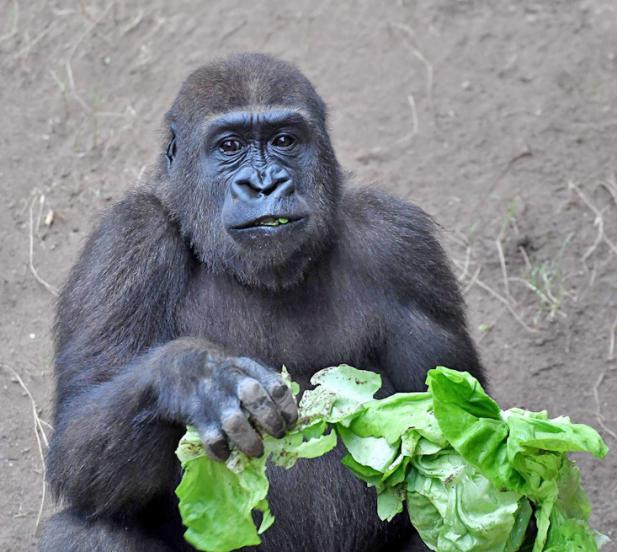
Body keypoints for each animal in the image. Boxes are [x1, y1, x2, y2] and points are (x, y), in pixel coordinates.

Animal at [41, 52, 484, 552]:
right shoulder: (126, 241)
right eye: (229, 145)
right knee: (85, 530)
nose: (264, 183)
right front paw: (197, 376)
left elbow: (455, 426)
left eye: (284, 140)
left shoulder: (401, 241)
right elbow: (77, 438)